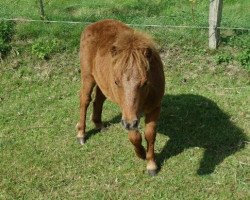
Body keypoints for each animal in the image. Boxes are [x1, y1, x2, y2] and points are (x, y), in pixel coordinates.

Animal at [77, 18, 165, 175]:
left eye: (145, 82)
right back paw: (81, 134)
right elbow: (134, 136)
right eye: (117, 82)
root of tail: (93, 25)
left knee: (98, 100)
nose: (129, 123)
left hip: (101, 81)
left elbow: (150, 134)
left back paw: (99, 124)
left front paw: (151, 164)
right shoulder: (127, 112)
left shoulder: (154, 107)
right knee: (85, 100)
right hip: (88, 76)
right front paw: (141, 153)